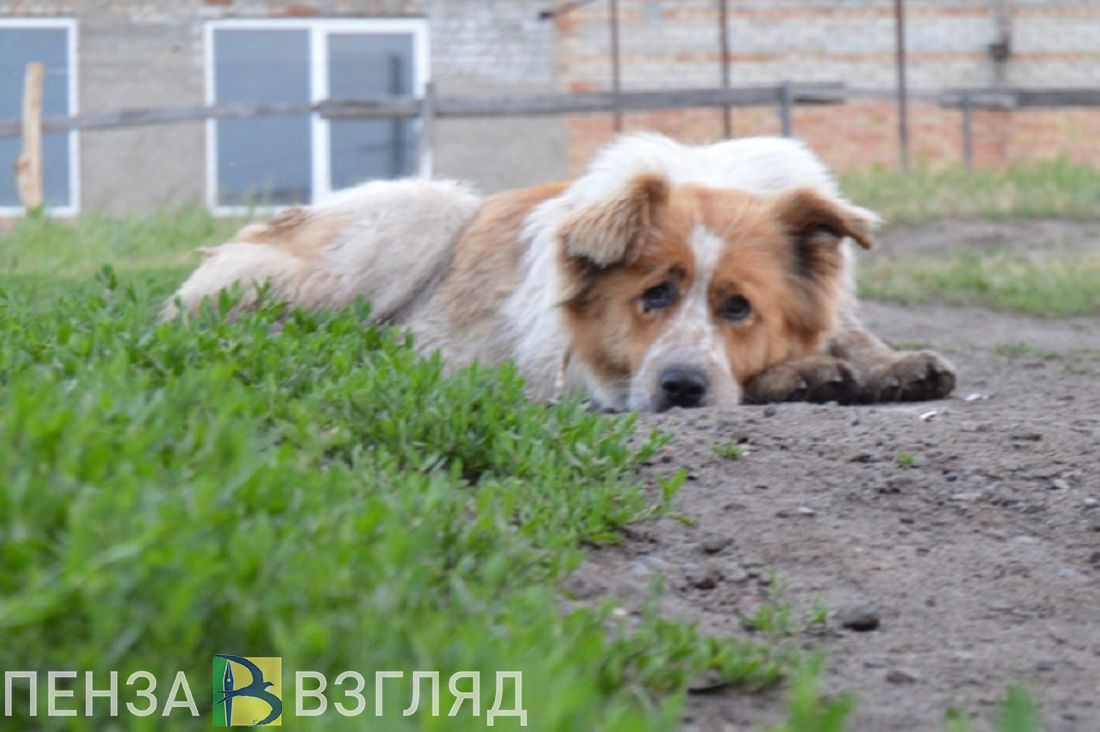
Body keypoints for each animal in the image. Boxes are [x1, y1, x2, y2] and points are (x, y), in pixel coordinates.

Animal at [165, 133, 955, 411]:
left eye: (740, 308)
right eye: (652, 296)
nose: (681, 388)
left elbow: (854, 333)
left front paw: (892, 364)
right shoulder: (580, 370)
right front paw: (805, 374)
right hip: (422, 208)